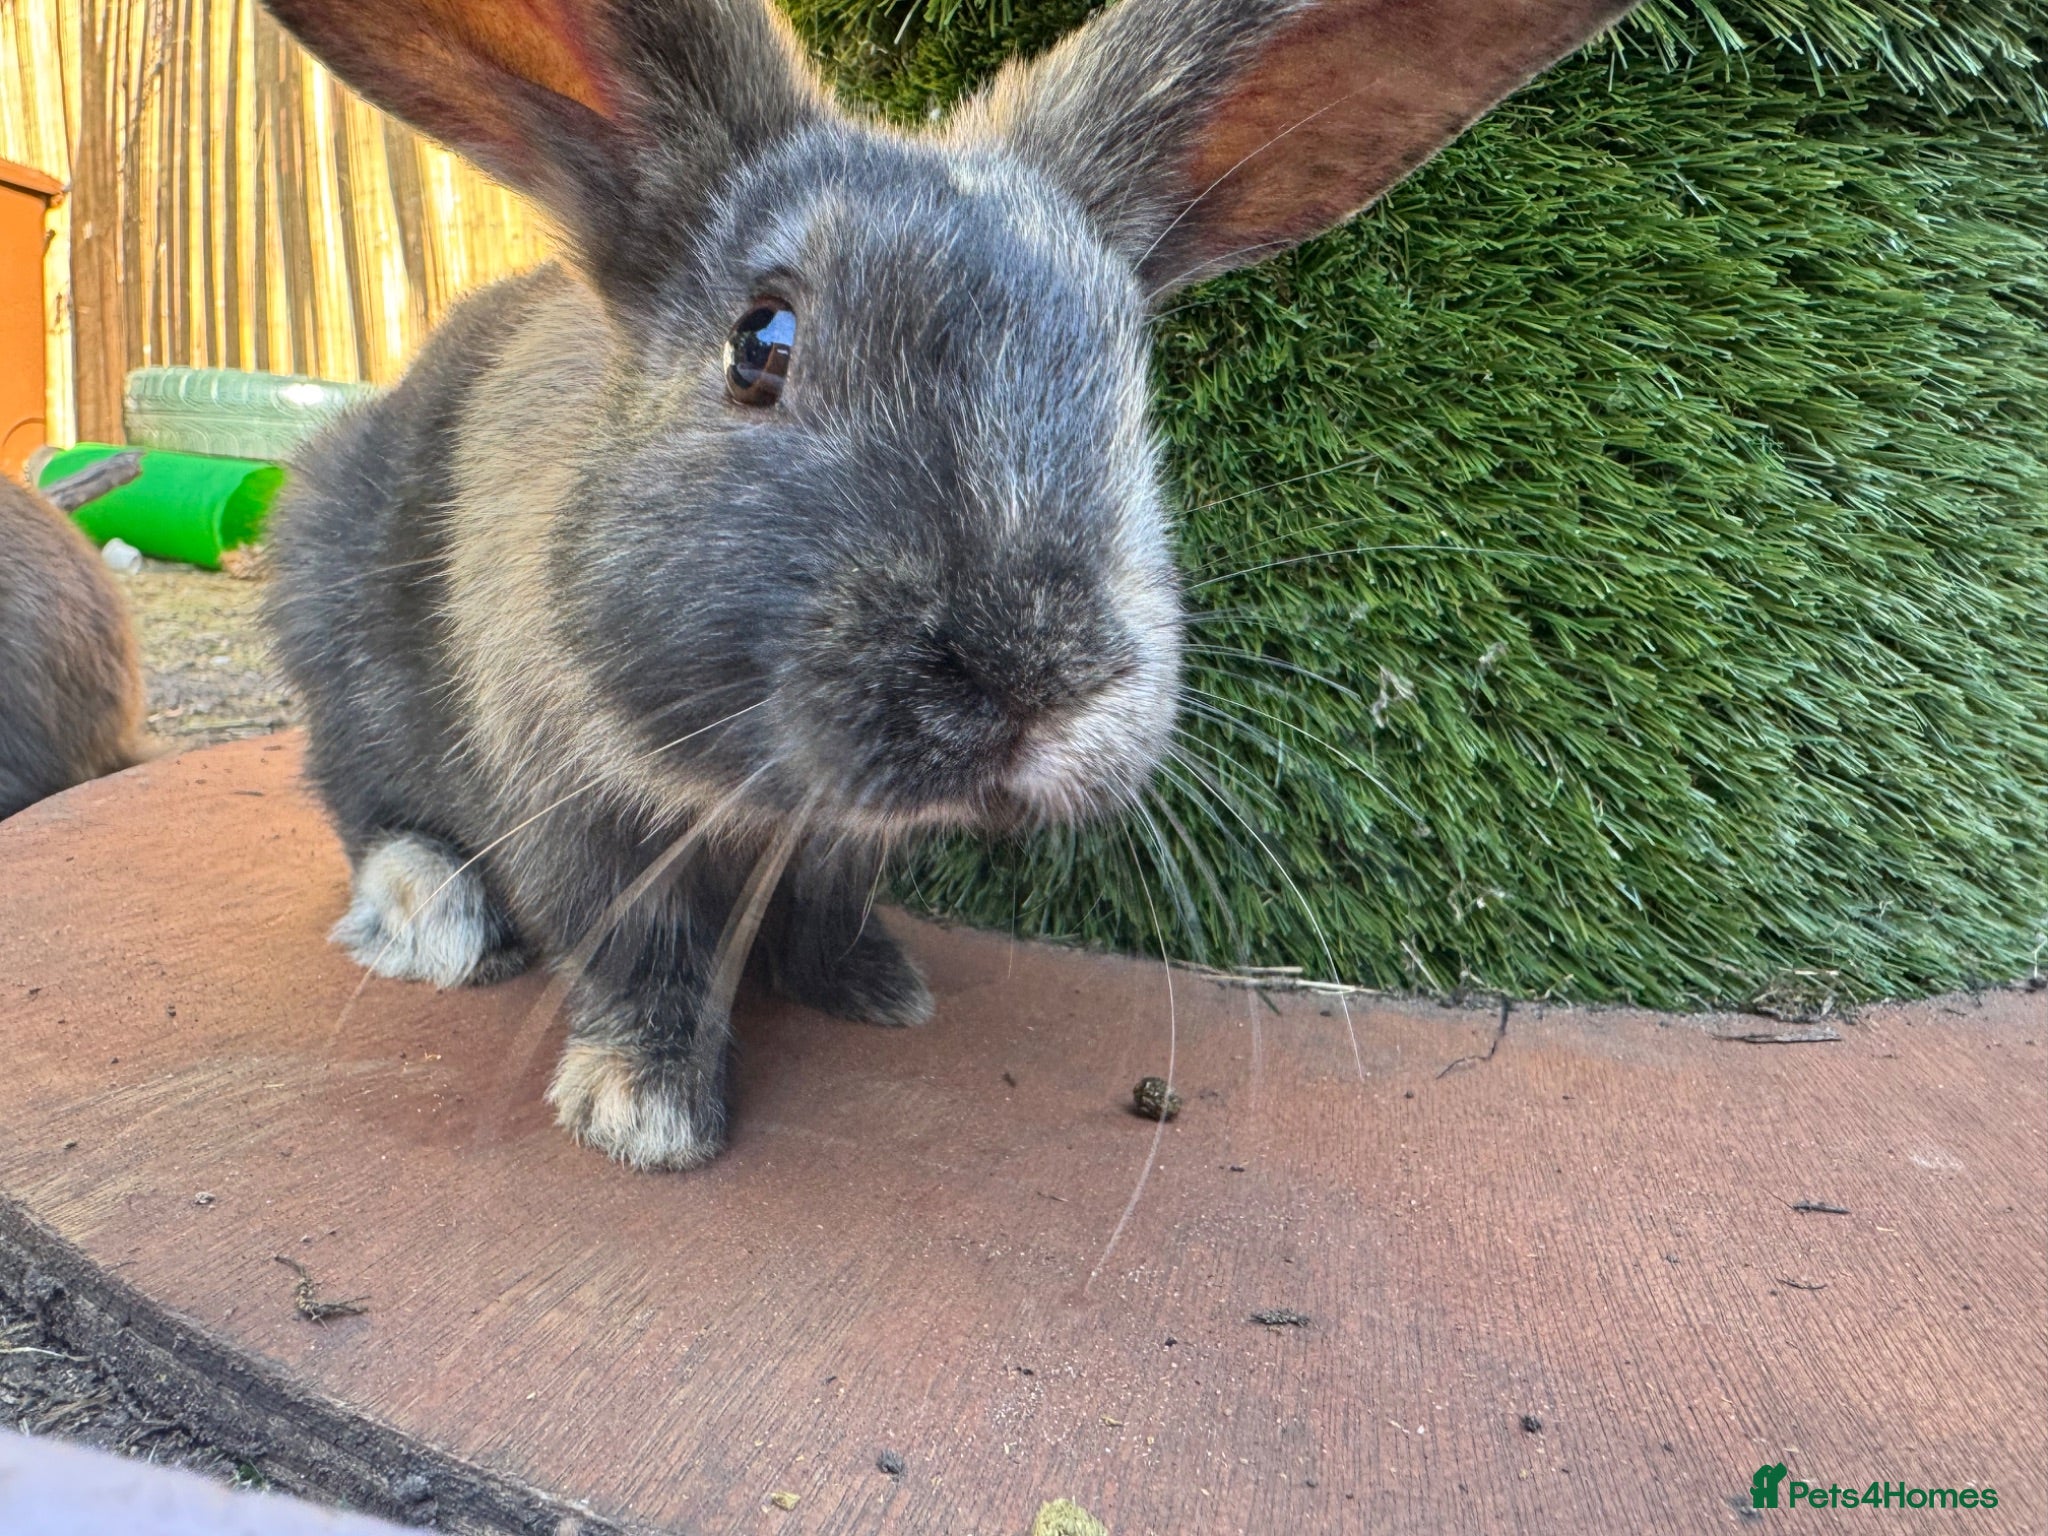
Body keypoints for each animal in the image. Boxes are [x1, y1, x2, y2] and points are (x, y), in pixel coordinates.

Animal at [260, 0, 1633, 1169]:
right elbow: (636, 955)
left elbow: (828, 910)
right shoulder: (570, 804)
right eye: (761, 345)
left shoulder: (837, 847)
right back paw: (429, 916)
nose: (1034, 680)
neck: (766, 792)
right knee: (357, 801)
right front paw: (642, 1115)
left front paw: (872, 988)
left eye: (1127, 380)